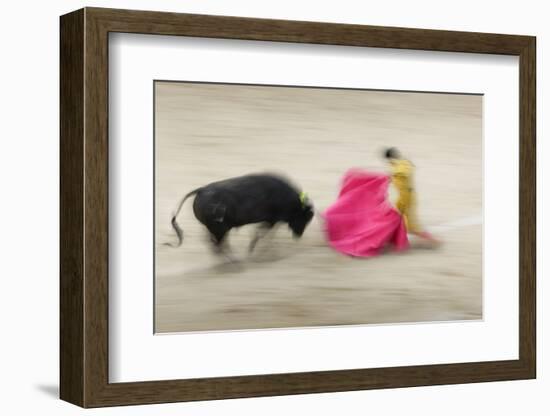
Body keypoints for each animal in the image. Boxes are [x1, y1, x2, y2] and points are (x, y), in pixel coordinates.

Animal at [167, 174, 314, 252]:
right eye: (304, 218)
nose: (298, 235)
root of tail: (201, 190)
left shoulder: (271, 220)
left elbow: (263, 233)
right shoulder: (272, 219)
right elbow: (262, 233)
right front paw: (254, 248)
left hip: (215, 228)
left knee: (214, 243)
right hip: (220, 228)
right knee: (218, 245)